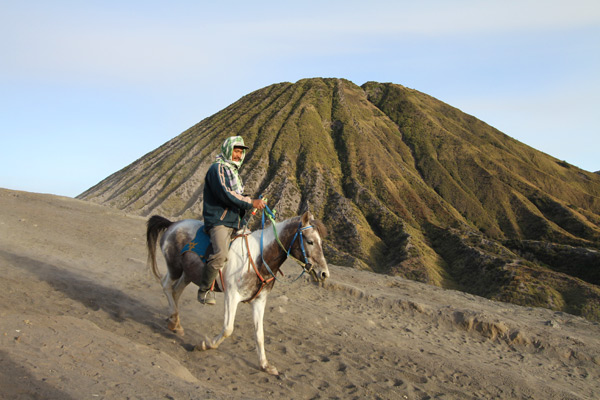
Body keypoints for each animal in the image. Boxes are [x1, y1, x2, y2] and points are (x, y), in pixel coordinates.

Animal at [147, 209, 330, 376]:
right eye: (310, 241)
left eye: (320, 242)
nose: (324, 273)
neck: (259, 258)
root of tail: (173, 225)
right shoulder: (232, 296)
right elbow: (228, 329)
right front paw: (204, 345)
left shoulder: (259, 301)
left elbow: (259, 334)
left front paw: (265, 365)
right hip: (175, 268)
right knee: (166, 286)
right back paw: (174, 321)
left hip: (188, 273)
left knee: (176, 291)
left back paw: (176, 324)